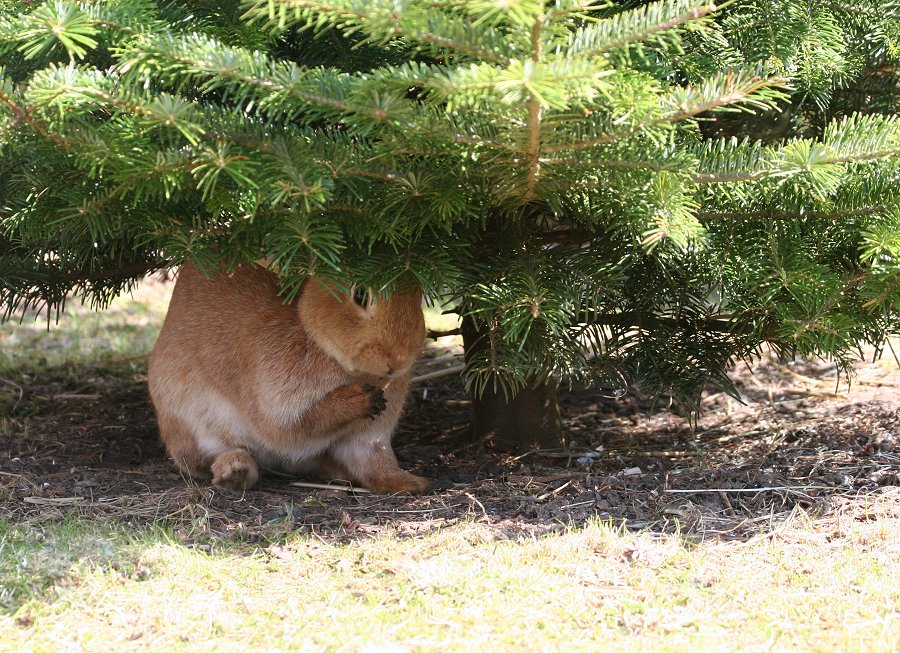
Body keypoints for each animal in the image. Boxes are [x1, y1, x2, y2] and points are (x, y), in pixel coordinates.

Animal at [148, 262, 428, 492]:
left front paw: (409, 483)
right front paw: (358, 399)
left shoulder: (368, 436)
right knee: (205, 460)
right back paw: (235, 471)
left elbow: (375, 461)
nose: (398, 359)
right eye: (360, 294)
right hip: (192, 421)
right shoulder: (277, 405)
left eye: (418, 295)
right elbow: (300, 425)